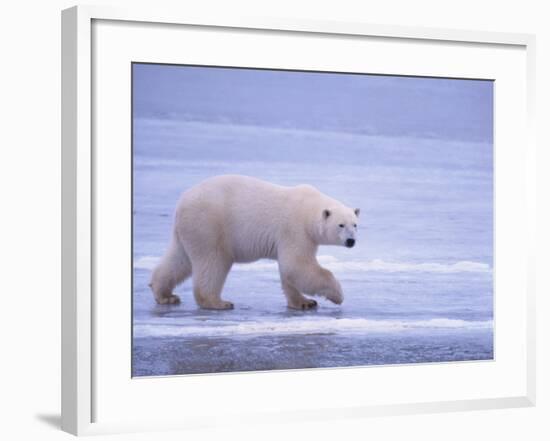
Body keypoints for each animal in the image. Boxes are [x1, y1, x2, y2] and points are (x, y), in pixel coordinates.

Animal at [150, 174, 362, 308]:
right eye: (341, 225)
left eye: (355, 224)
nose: (351, 241)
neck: (308, 210)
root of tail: (182, 203)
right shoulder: (295, 230)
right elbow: (297, 265)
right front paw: (338, 295)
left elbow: (289, 272)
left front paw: (304, 302)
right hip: (209, 225)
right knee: (213, 262)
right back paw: (218, 302)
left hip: (189, 230)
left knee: (179, 259)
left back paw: (164, 295)